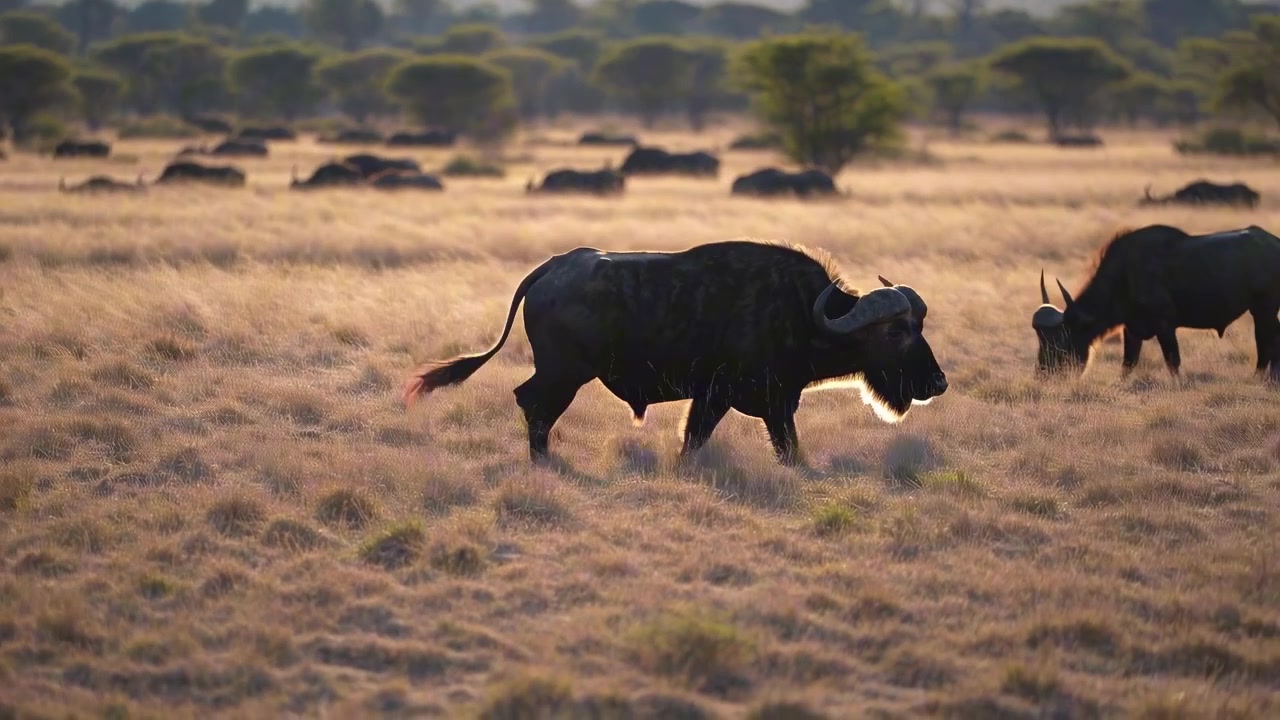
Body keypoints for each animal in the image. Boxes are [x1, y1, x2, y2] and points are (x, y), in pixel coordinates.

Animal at [403, 240, 947, 465]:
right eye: (896, 331)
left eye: (920, 325)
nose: (938, 383)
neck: (799, 312)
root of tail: (551, 269)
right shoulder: (744, 400)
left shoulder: (744, 403)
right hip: (564, 373)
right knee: (532, 404)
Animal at [1032, 224, 1280, 381]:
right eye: (1042, 340)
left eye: (1061, 339)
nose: (1043, 373)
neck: (1125, 276)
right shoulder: (1131, 329)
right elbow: (1128, 363)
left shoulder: (1165, 326)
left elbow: (1172, 361)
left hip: (1263, 309)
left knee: (1266, 342)